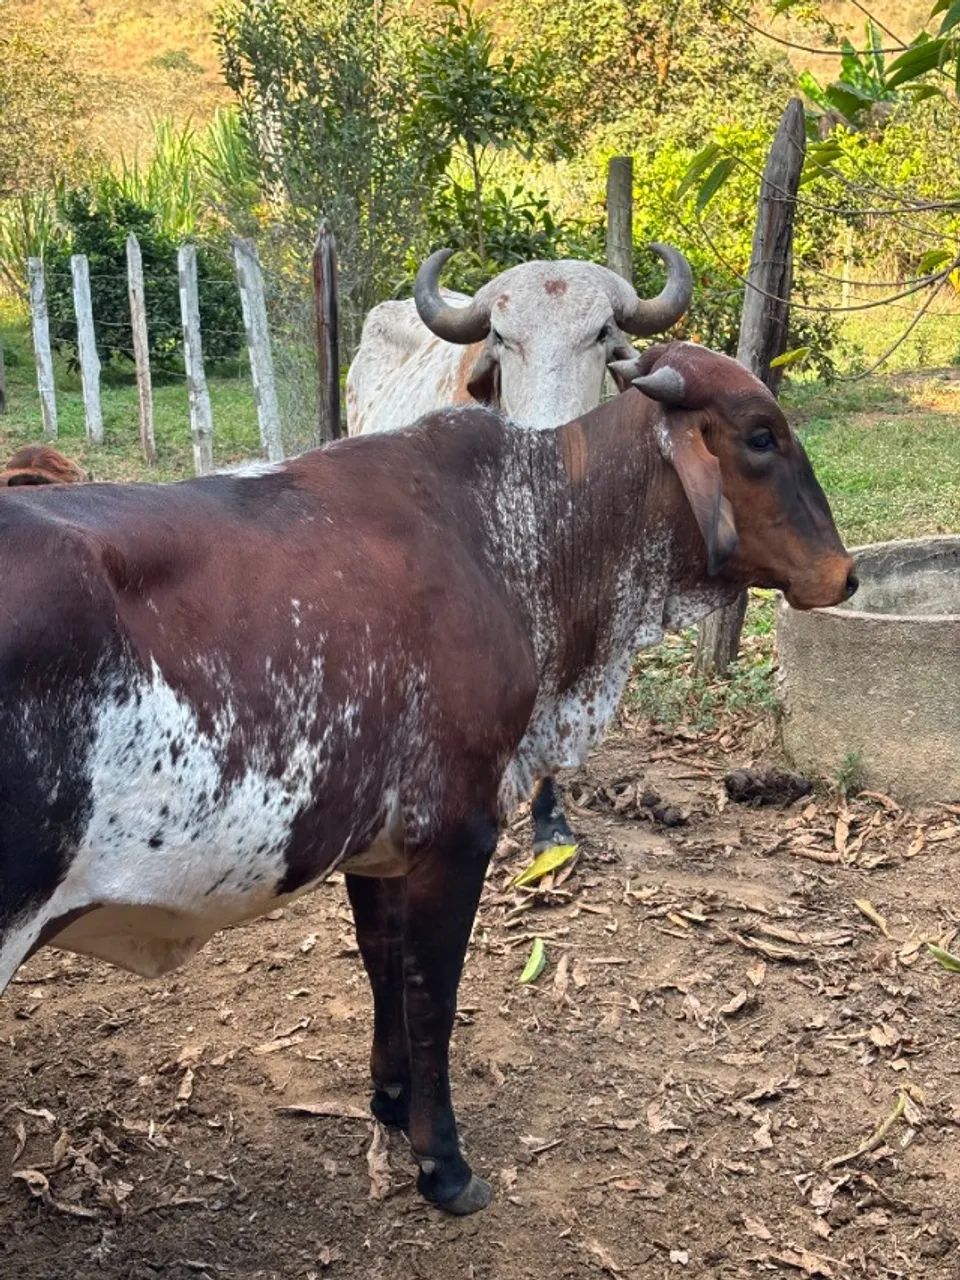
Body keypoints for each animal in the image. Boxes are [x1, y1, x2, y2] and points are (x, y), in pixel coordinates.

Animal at [0, 341, 856, 1216]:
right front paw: (443, 1161)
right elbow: (431, 992)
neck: (525, 537)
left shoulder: (375, 841)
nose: (847, 573)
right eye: (760, 435)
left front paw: (390, 1099)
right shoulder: (458, 829)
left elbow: (383, 962)